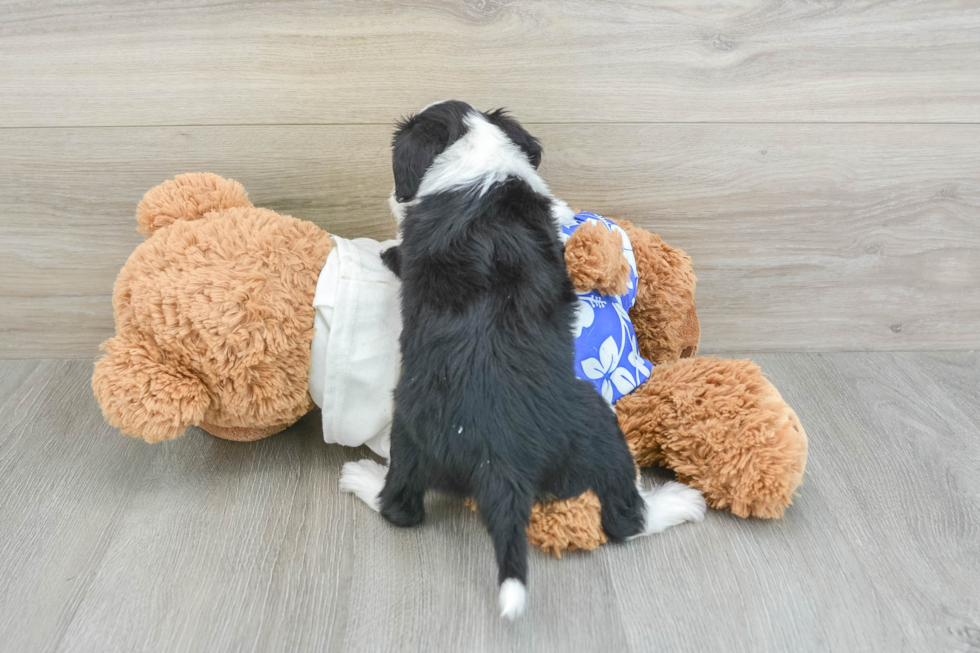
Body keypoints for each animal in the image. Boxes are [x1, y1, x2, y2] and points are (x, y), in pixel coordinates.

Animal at [344, 99, 704, 620]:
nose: (393, 197)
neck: (474, 157)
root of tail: (499, 459)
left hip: (412, 432)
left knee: (401, 506)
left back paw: (362, 478)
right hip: (596, 427)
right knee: (623, 519)